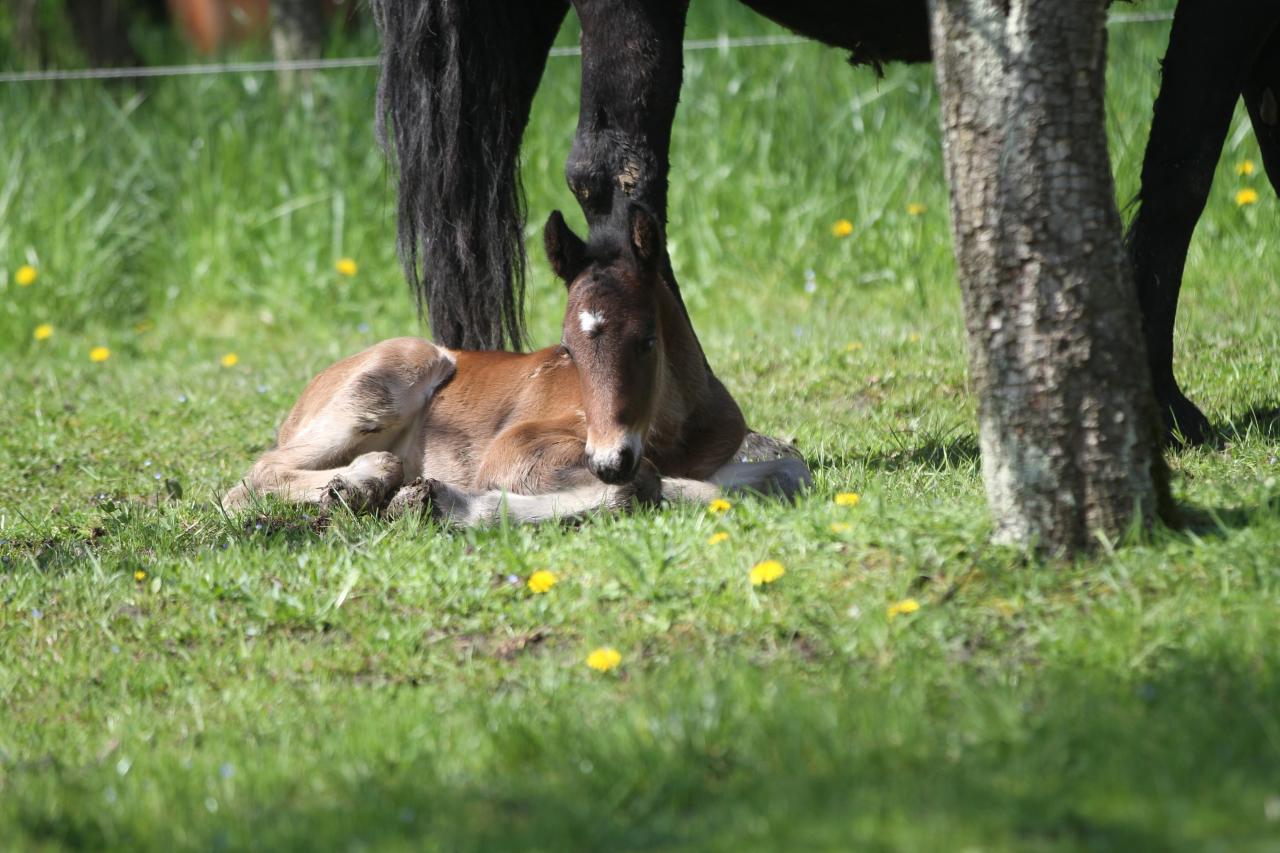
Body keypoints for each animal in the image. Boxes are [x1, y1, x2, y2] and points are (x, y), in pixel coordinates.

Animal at [225, 206, 808, 525]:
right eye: (567, 349)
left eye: (646, 340)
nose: (607, 460)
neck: (673, 437)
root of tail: (303, 398)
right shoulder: (515, 448)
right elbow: (645, 485)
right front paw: (440, 503)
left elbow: (789, 471)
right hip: (400, 367)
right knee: (254, 476)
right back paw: (364, 481)